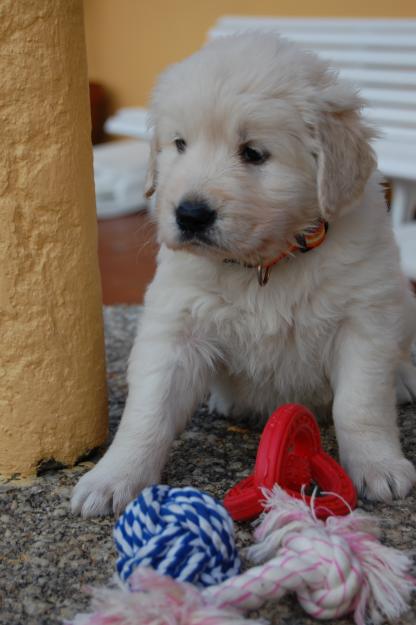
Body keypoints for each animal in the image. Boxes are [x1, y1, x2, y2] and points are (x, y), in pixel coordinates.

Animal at [72, 33, 416, 516]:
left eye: (253, 153)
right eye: (179, 144)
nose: (190, 215)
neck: (263, 265)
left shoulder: (364, 318)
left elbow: (359, 404)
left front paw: (377, 466)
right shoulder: (176, 324)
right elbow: (148, 411)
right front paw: (112, 477)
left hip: (401, 300)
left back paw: (403, 379)